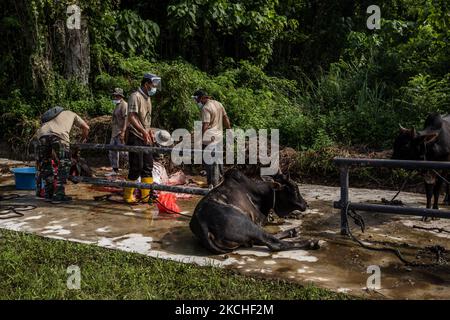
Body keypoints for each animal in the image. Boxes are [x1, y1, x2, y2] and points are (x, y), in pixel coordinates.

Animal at [190, 169, 320, 254]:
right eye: (294, 188)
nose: (306, 204)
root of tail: (203, 224)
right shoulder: (258, 221)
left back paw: (293, 232)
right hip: (248, 224)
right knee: (273, 243)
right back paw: (310, 242)